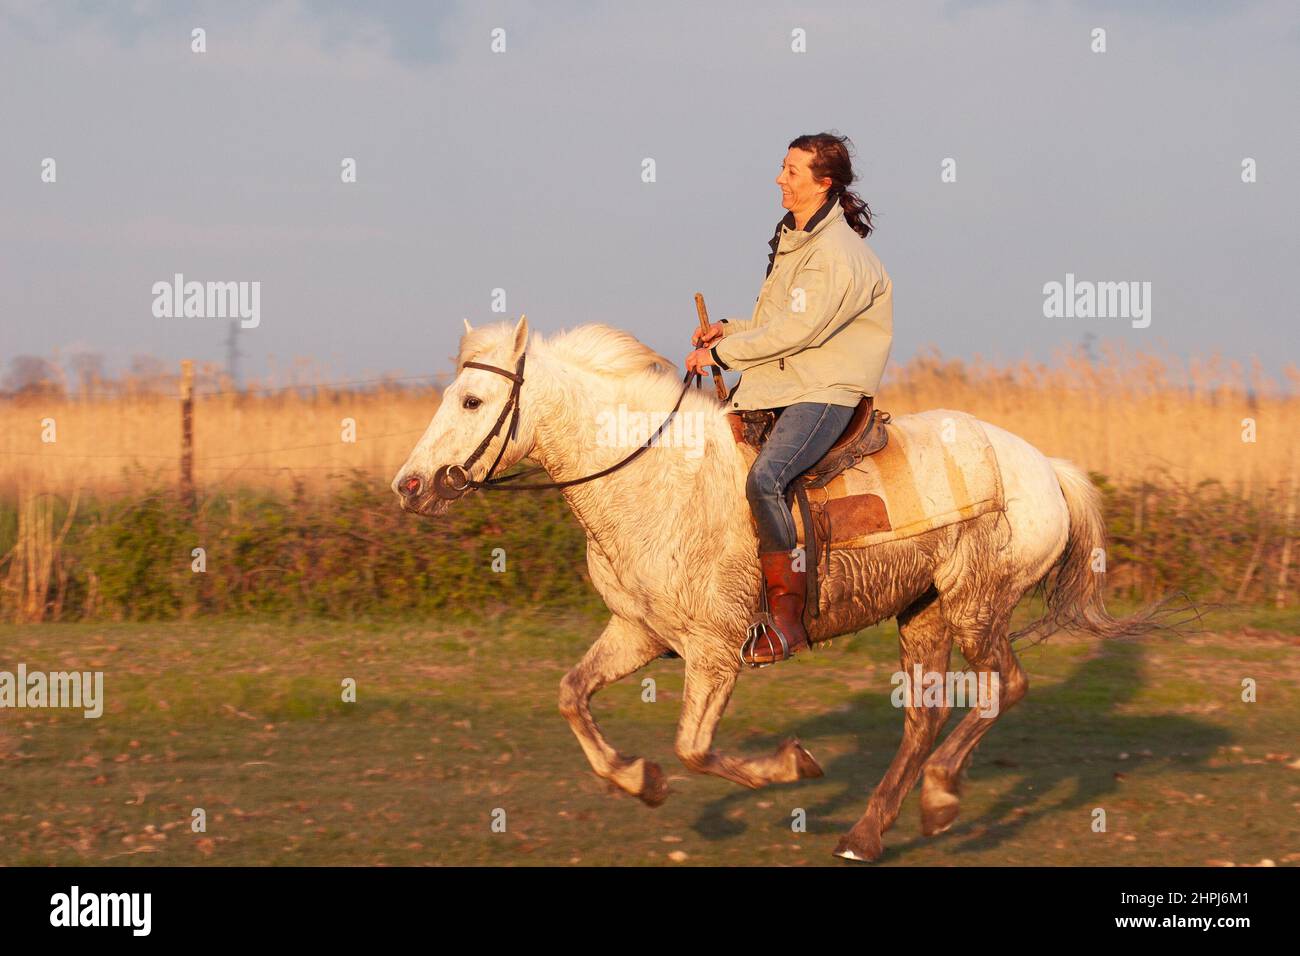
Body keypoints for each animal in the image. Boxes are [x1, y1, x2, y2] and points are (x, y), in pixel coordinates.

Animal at [387, 317, 1159, 863]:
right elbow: (572, 695)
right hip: (924, 614)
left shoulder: (714, 652)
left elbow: (695, 748)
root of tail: (1045, 467)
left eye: (473, 399)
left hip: (977, 608)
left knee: (1005, 686)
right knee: (926, 717)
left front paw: (792, 764)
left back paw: (940, 798)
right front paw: (639, 780)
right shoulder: (639, 634)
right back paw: (867, 834)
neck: (652, 478)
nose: (410, 487)